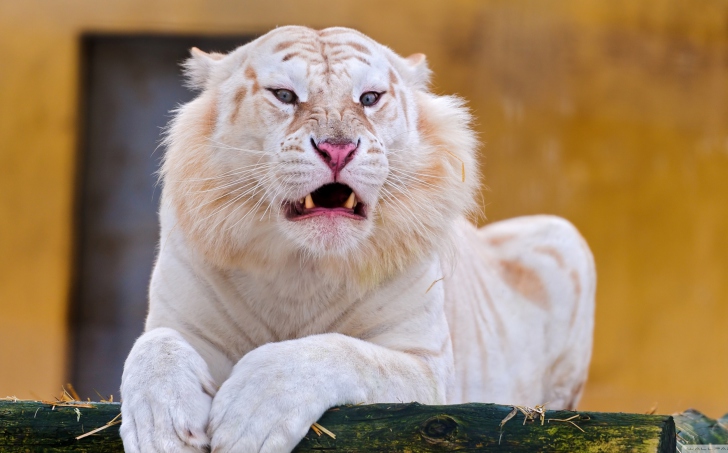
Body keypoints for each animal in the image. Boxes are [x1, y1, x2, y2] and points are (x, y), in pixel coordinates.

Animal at [119, 25, 596, 452]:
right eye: (284, 95)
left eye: (369, 98)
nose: (338, 149)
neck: (301, 267)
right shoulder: (182, 322)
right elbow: (153, 347)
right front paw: (160, 431)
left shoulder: (428, 369)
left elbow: (341, 353)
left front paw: (248, 418)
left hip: (563, 236)